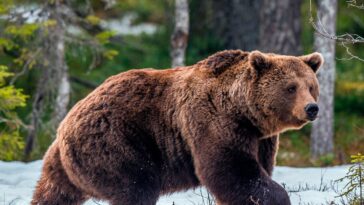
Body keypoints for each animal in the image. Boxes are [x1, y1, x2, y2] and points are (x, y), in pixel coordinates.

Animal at [30, 50, 322, 205]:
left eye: (311, 86)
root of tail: (66, 122)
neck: (245, 112)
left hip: (62, 165)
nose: (312, 108)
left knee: (53, 193)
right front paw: (277, 196)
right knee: (136, 187)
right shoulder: (214, 123)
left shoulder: (260, 139)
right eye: (291, 87)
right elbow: (232, 170)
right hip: (116, 143)